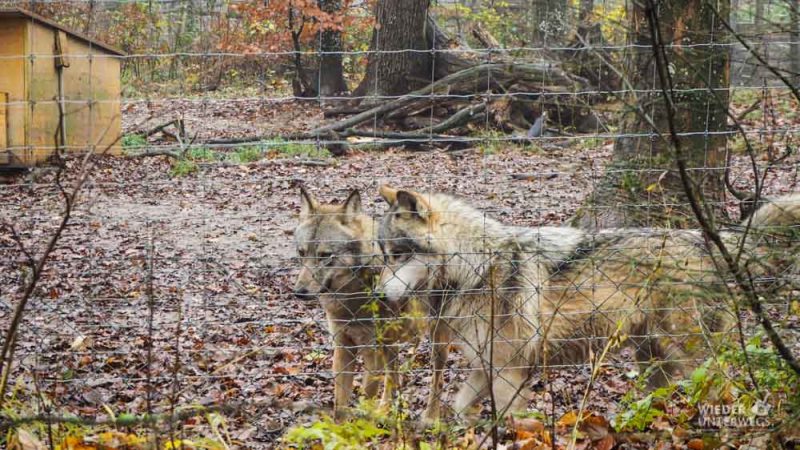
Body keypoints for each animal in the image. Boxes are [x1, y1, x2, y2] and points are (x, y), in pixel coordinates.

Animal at [294, 186, 428, 418]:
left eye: (325, 255)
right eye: (302, 253)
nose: (299, 292)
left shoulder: (371, 352)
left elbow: (367, 397)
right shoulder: (343, 348)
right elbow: (340, 405)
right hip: (390, 345)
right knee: (393, 377)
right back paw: (386, 411)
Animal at [376, 185, 800, 422]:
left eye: (398, 255)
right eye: (383, 256)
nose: (378, 296)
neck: (476, 267)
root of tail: (705, 240)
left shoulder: (510, 373)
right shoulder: (485, 368)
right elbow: (460, 408)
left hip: (691, 356)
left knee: (726, 392)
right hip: (652, 359)